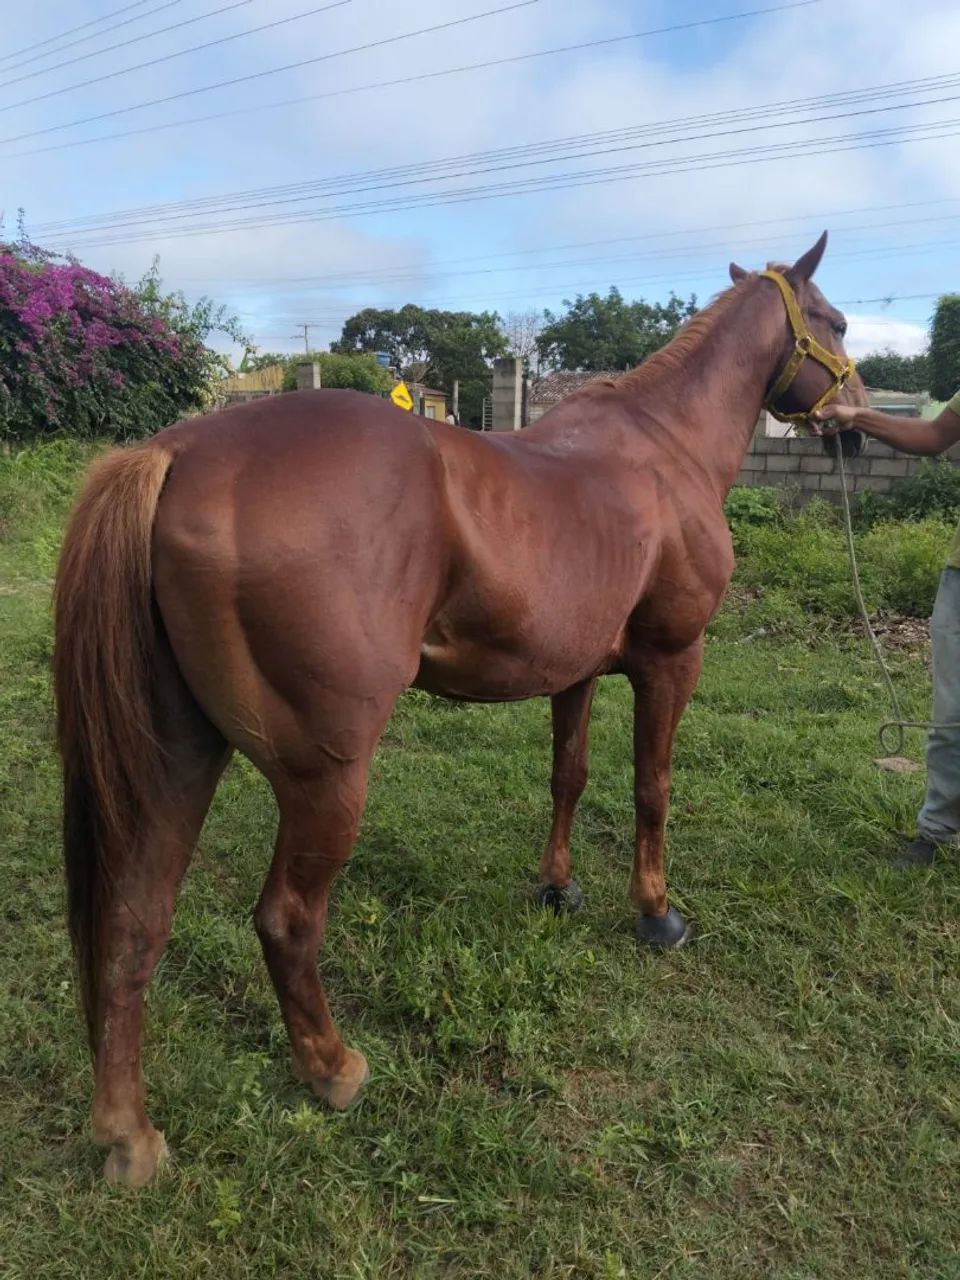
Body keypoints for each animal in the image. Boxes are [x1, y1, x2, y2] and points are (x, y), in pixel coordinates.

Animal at [53, 232, 862, 1185]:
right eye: (835, 322)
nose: (855, 416)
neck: (665, 452)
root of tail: (177, 454)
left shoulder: (578, 671)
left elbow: (568, 775)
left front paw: (557, 887)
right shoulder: (671, 662)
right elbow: (652, 788)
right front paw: (656, 913)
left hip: (182, 753)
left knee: (134, 919)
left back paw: (128, 1136)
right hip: (325, 777)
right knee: (286, 919)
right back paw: (333, 1070)